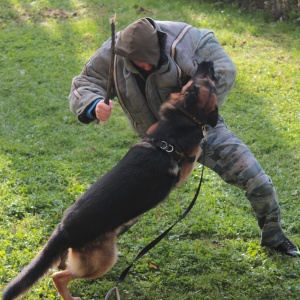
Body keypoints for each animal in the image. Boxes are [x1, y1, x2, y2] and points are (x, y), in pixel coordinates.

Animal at [1, 59, 218, 298]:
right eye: (207, 80)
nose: (207, 62)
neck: (181, 121)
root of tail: (63, 229)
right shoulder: (185, 169)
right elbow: (199, 147)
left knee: (59, 264)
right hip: (104, 260)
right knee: (57, 277)